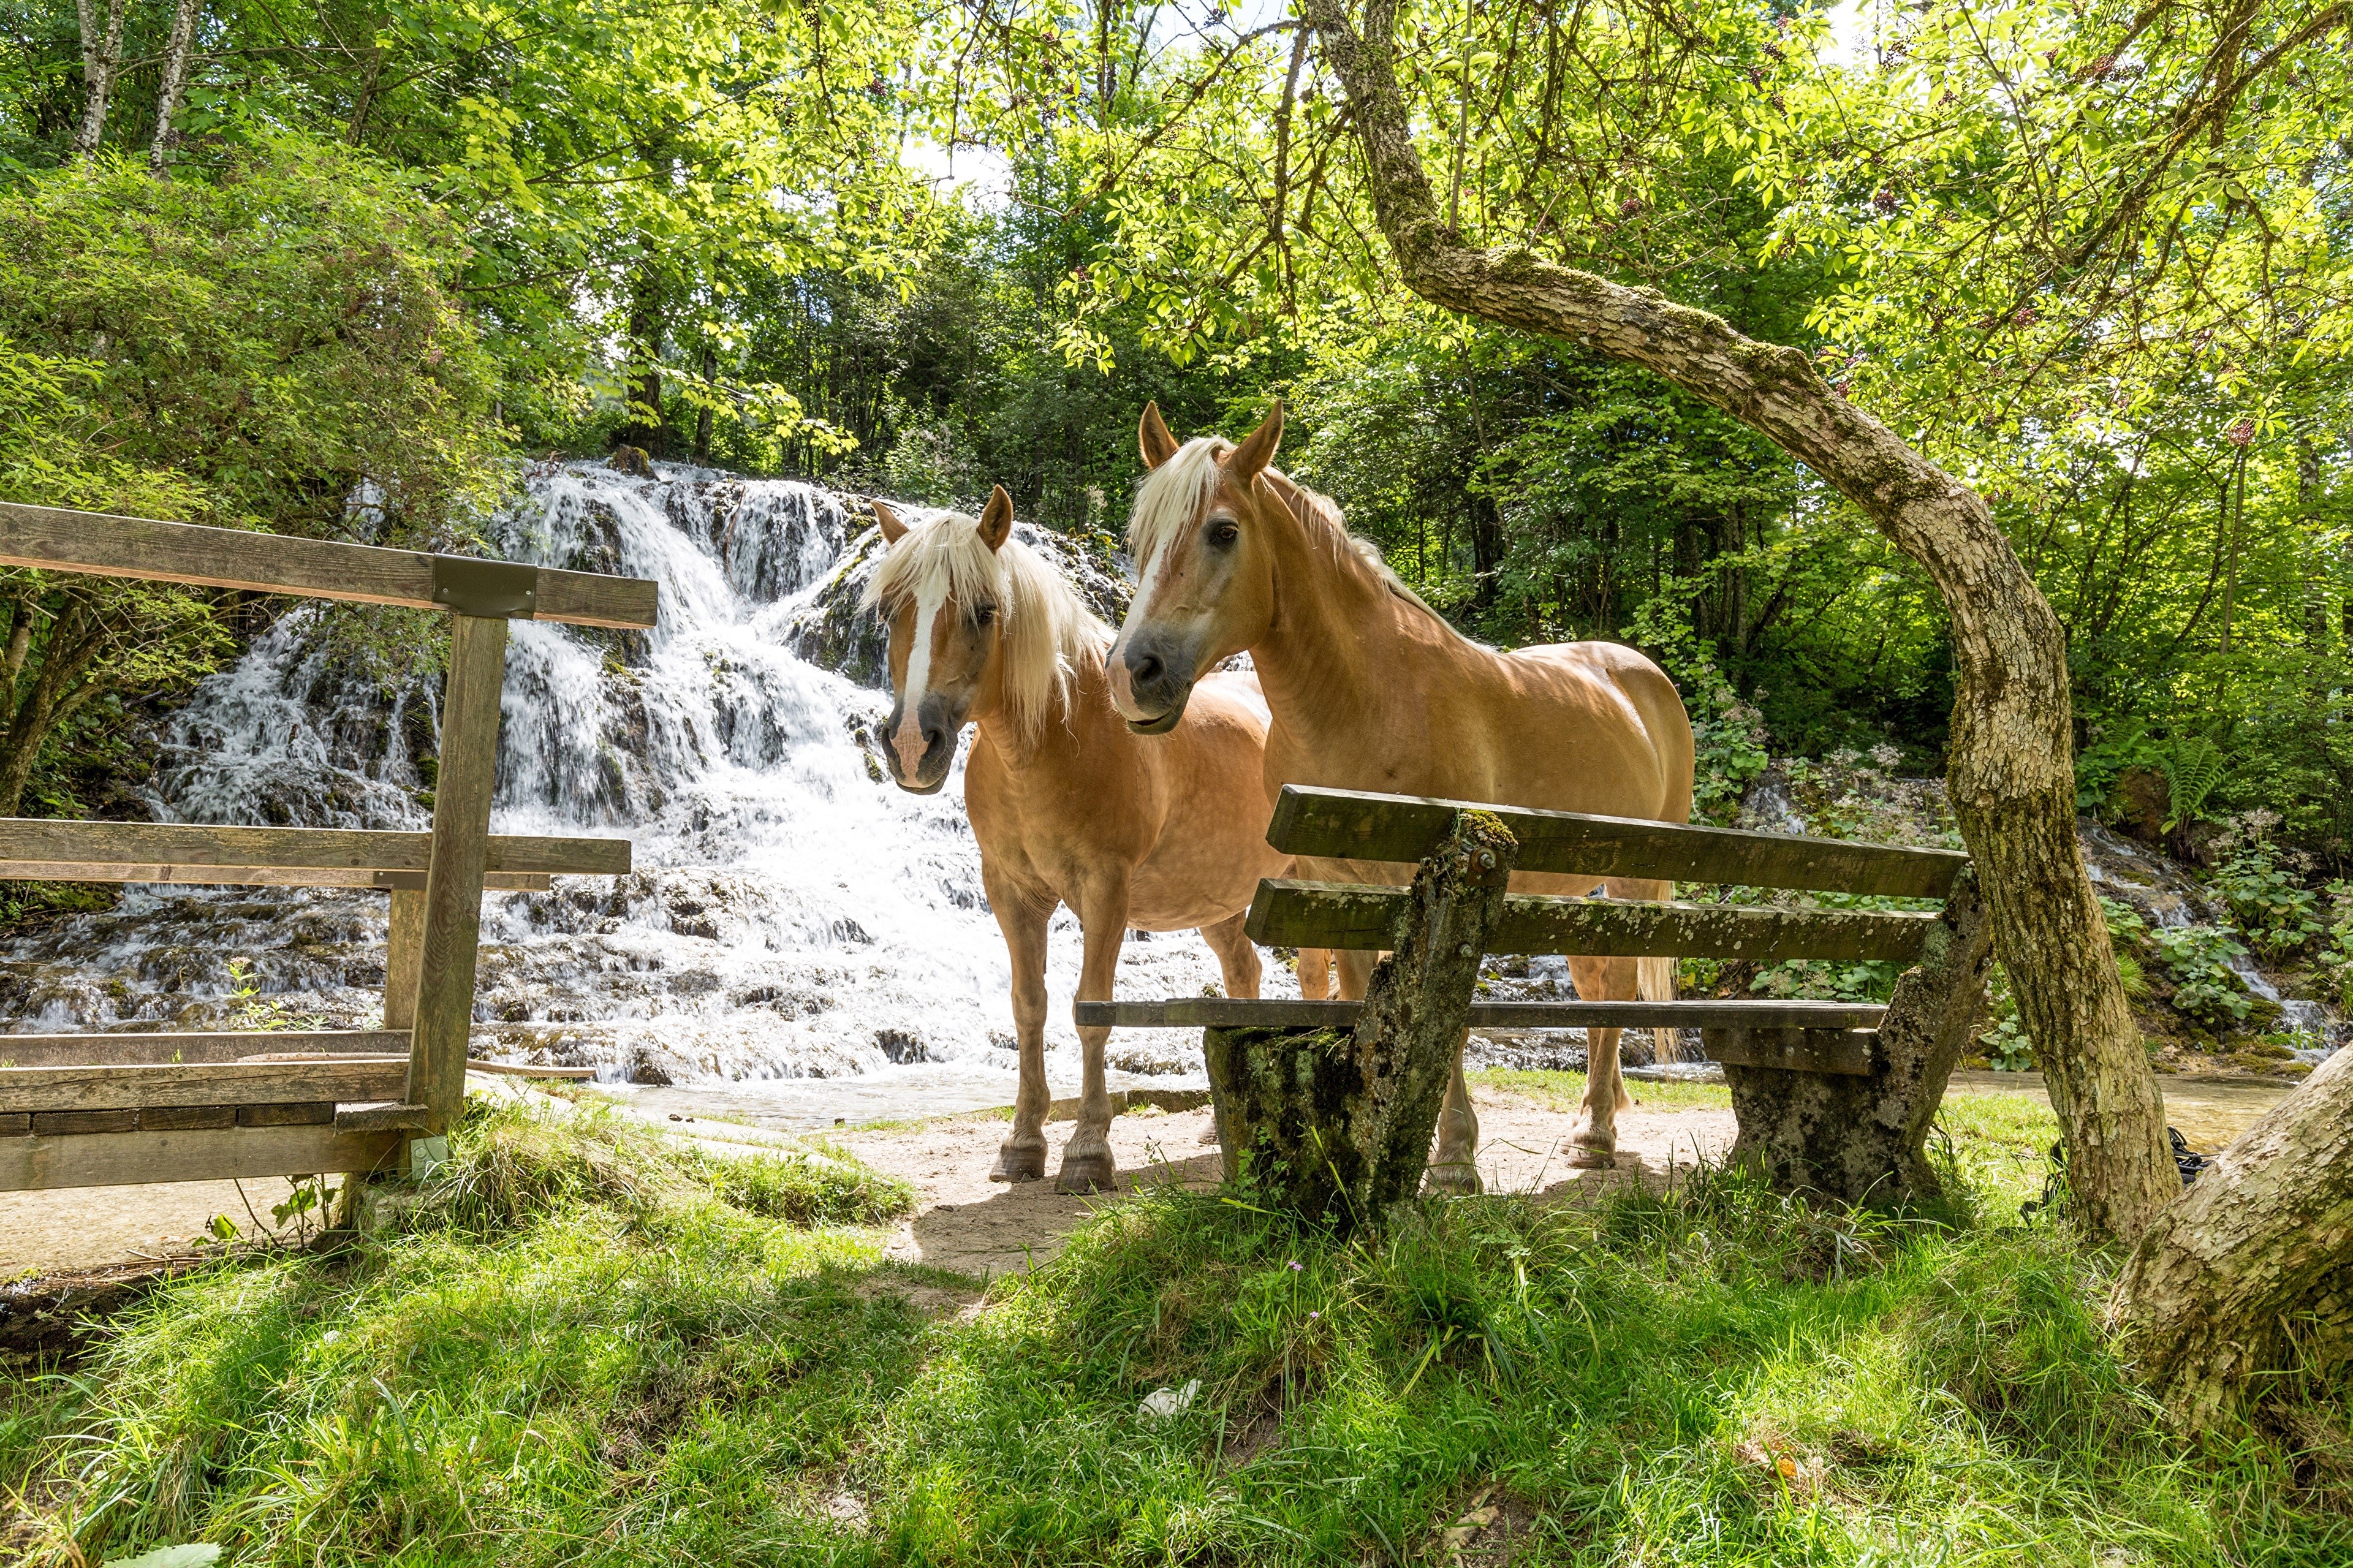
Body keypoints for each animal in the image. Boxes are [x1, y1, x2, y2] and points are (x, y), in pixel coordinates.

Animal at [863, 486, 1326, 1192]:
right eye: (893, 611)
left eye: (984, 611)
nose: (914, 743)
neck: (1057, 739)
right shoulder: (1011, 892)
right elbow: (1029, 1008)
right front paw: (1023, 1143)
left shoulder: (1105, 891)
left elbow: (1092, 1007)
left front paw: (1087, 1150)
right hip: (1219, 902)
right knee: (1244, 972)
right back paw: (1217, 1125)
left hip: (1314, 885)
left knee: (1321, 975)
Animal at [1103, 403, 1697, 1186]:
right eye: (1140, 539)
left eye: (1223, 531)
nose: (1132, 673)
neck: (1367, 700)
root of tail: (1641, 673)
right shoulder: (1332, 885)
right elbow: (1363, 998)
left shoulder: (1443, 880)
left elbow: (1439, 1012)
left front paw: (1452, 1154)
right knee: (1597, 983)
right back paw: (1596, 1120)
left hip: (1635, 880)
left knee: (1619, 989)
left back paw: (1596, 1135)